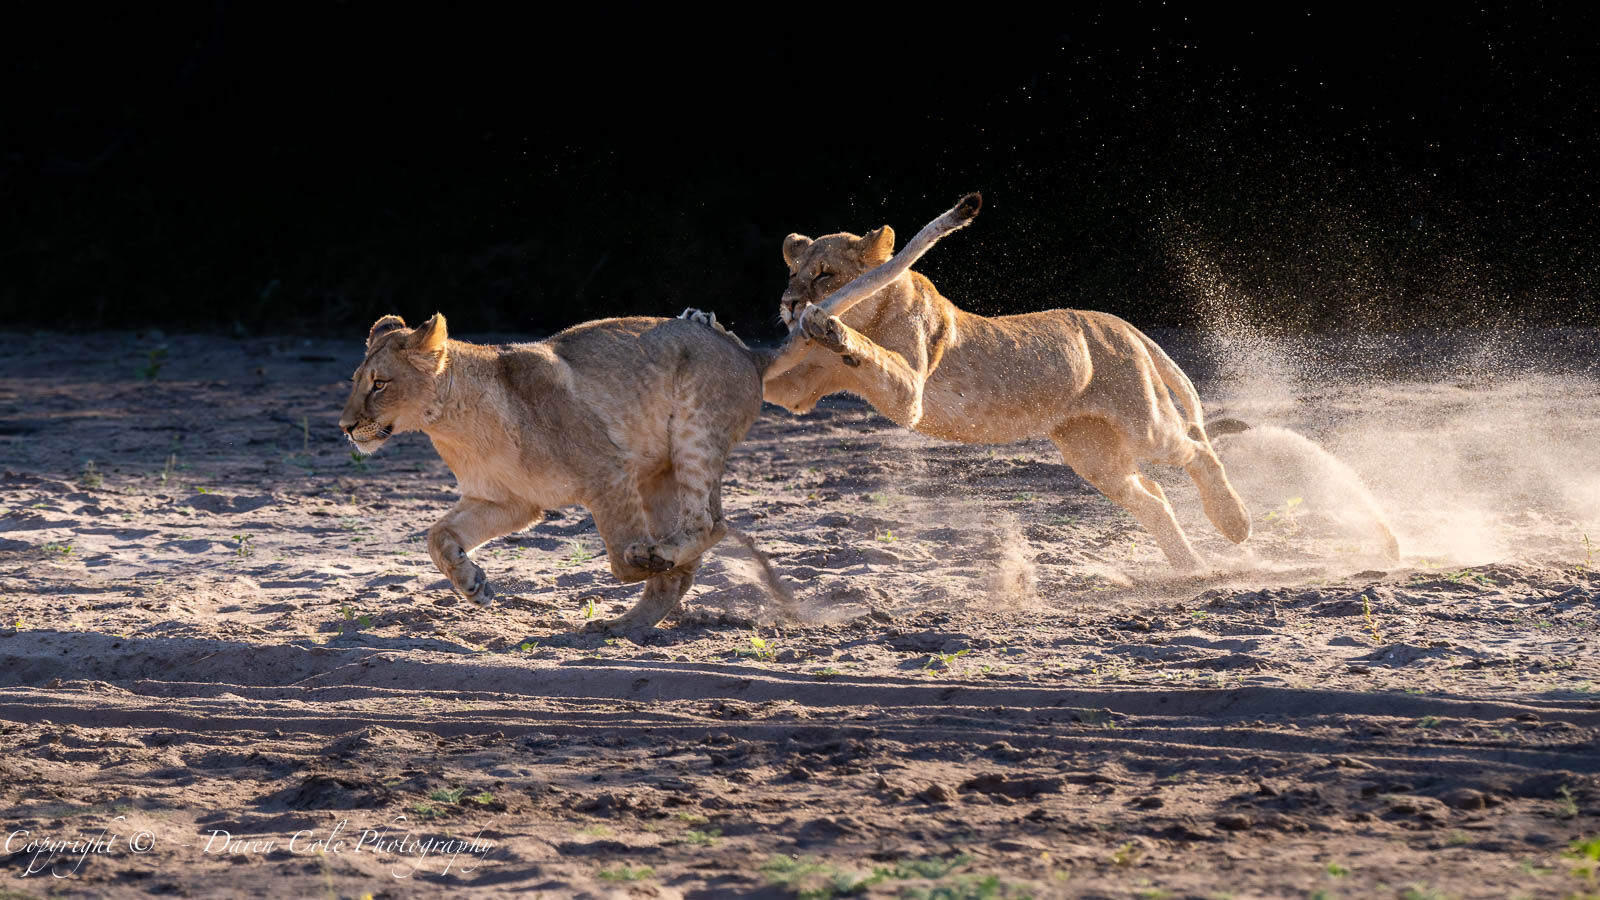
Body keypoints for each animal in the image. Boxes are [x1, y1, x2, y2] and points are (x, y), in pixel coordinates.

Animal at [338, 312, 784, 630]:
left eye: (380, 383)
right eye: (356, 381)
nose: (345, 427)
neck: (454, 423)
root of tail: (748, 353)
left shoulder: (609, 471)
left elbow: (621, 562)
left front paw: (646, 557)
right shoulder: (506, 501)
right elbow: (437, 536)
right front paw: (473, 585)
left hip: (693, 438)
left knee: (711, 525)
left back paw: (656, 560)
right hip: (657, 475)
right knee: (687, 562)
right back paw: (622, 627)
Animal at [689, 193, 1251, 571]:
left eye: (825, 274)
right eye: (792, 274)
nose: (788, 305)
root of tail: (1124, 325)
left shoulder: (910, 394)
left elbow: (874, 353)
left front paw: (832, 327)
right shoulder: (804, 389)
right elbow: (767, 371)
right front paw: (709, 330)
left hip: (1143, 422)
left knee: (1199, 449)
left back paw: (1235, 523)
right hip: (1092, 451)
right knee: (1152, 496)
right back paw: (1190, 568)